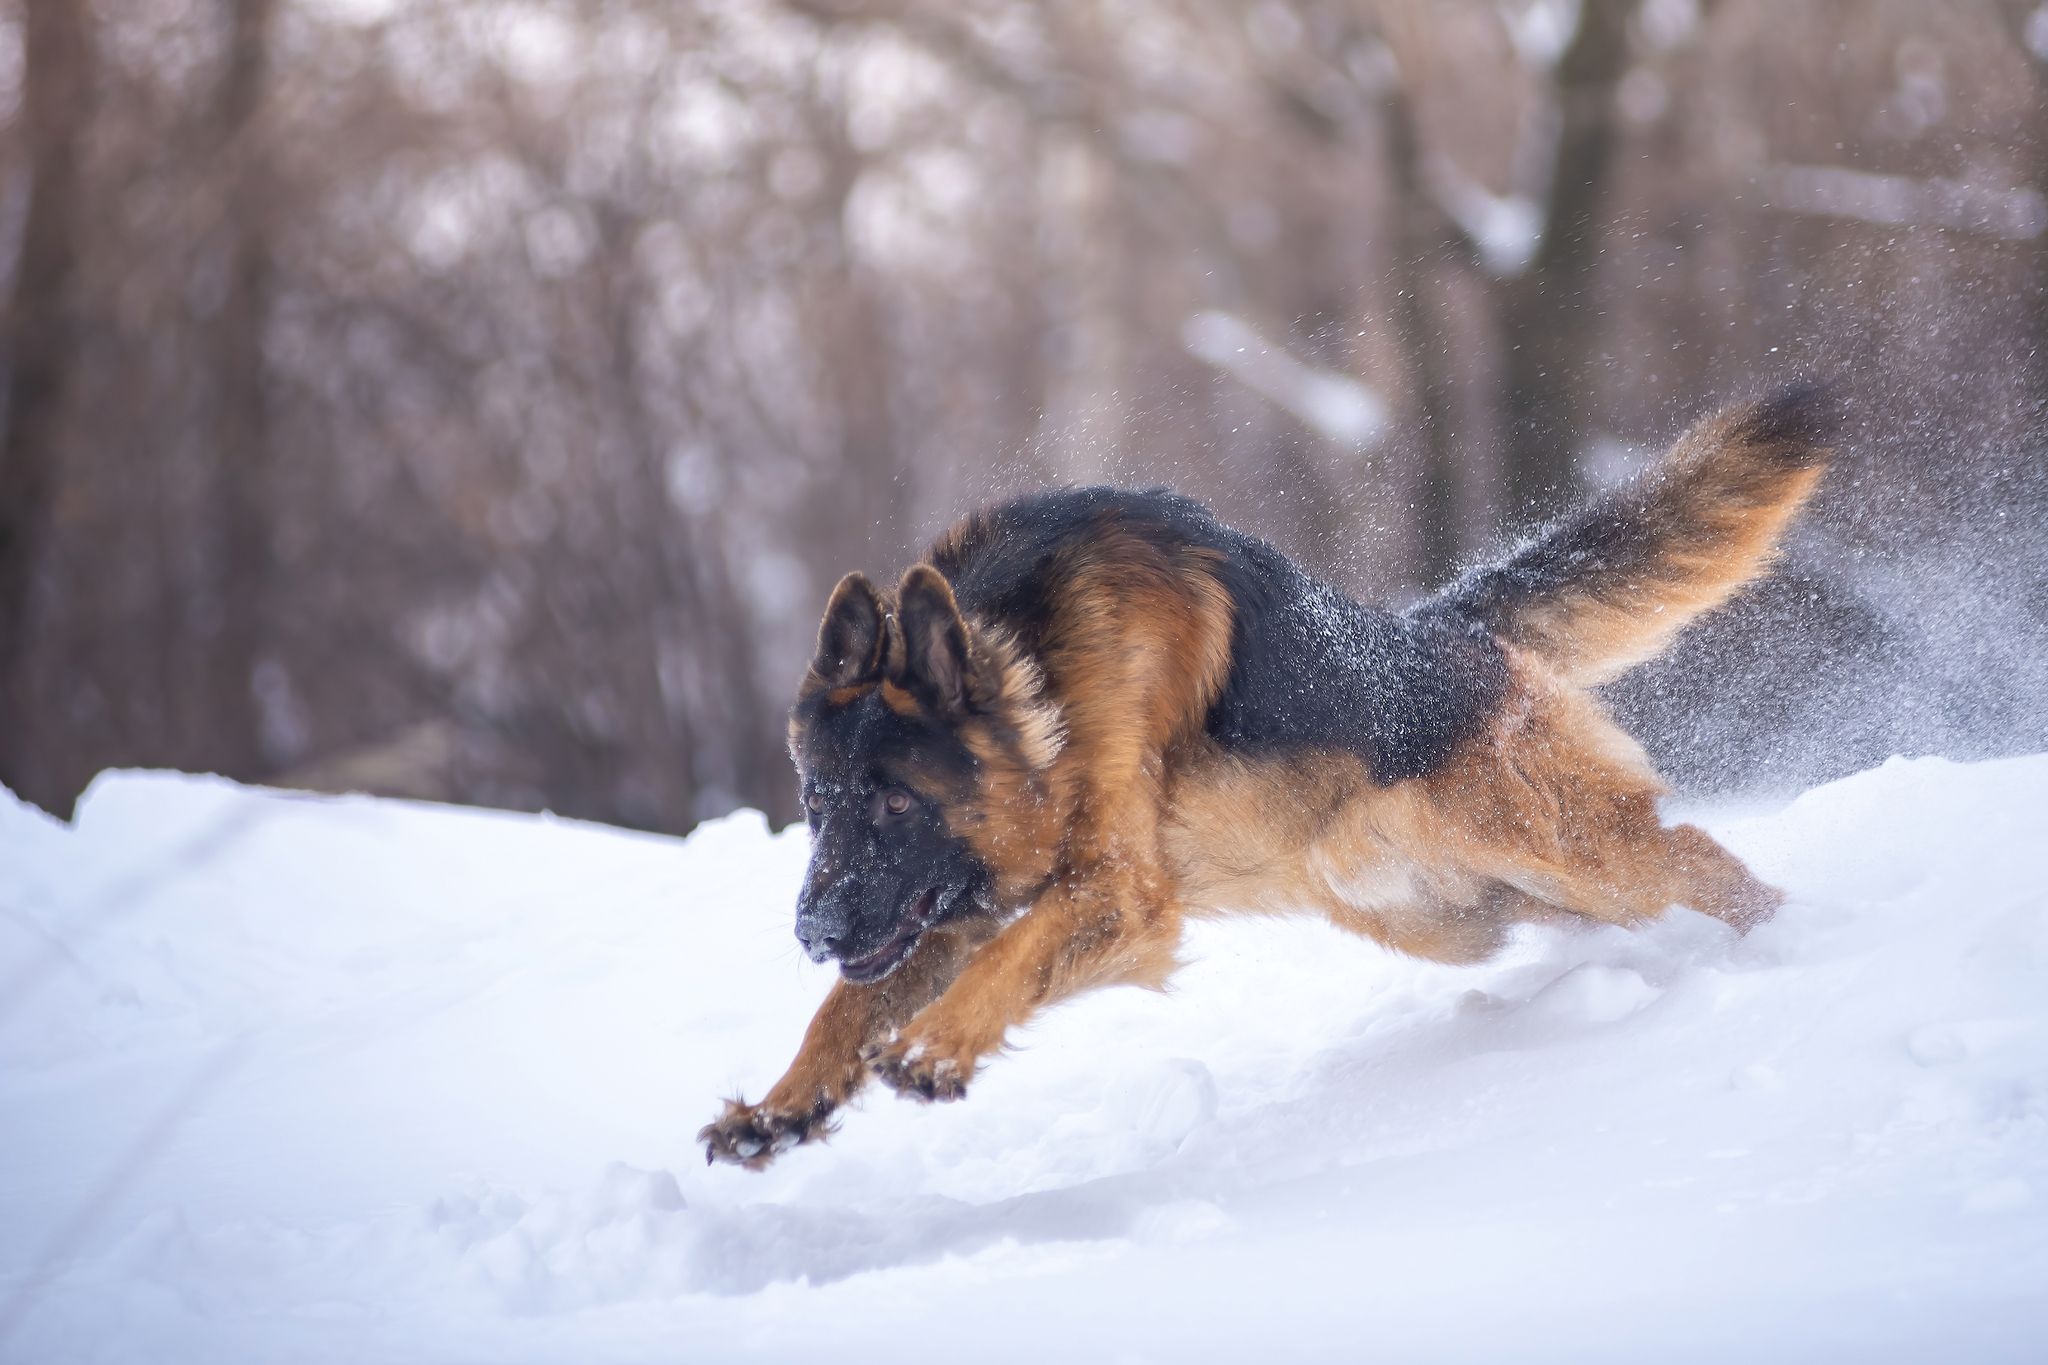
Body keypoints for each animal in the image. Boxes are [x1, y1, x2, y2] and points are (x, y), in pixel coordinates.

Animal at [704, 378, 1843, 1170]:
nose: (813, 931)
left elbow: (1009, 958)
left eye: (898, 801)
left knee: (1702, 863)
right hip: (1454, 909)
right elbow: (847, 1008)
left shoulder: (1114, 895)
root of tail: (1443, 629)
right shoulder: (948, 909)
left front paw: (937, 1047)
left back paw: (1802, 949)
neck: (1035, 678)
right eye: (817, 806)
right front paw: (783, 1104)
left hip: (1562, 850)